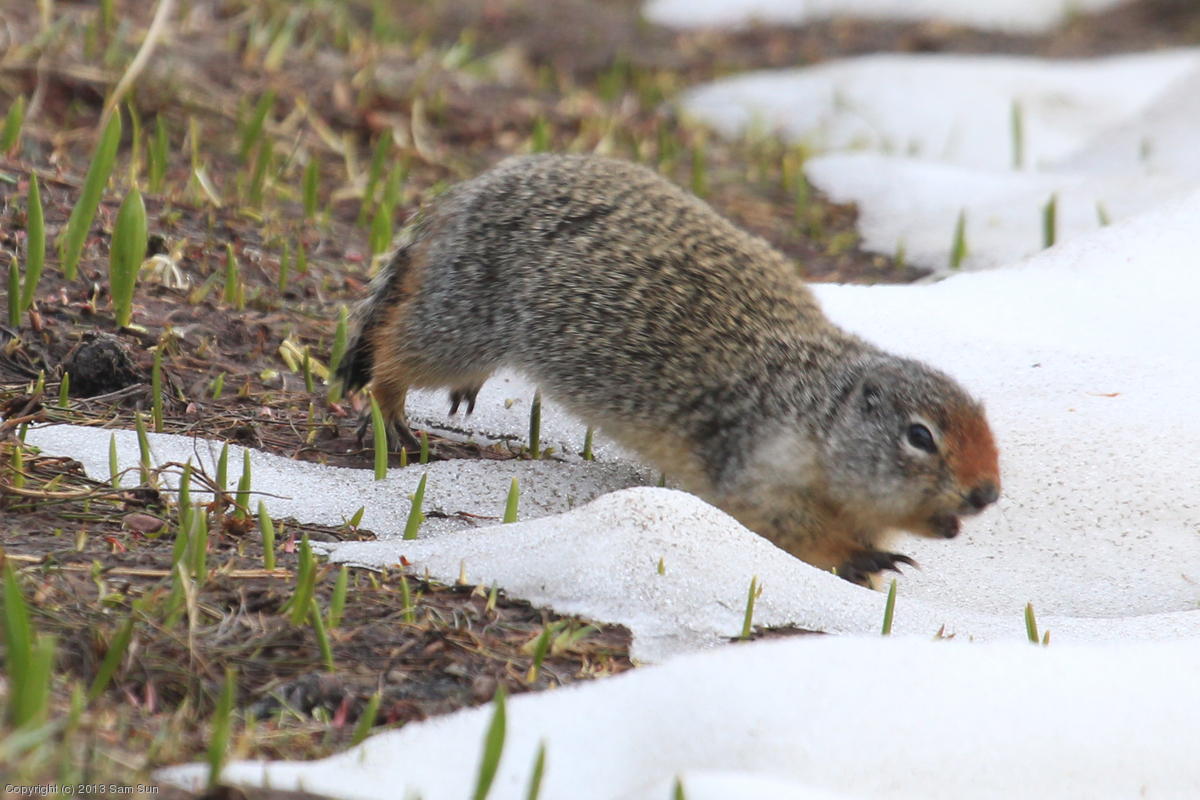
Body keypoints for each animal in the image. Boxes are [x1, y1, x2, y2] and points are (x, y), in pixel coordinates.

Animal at [337, 154, 1000, 586]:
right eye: (920, 436)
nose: (987, 493)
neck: (815, 407)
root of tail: (481, 184)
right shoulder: (759, 464)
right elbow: (786, 525)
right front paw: (864, 561)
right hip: (466, 321)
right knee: (398, 345)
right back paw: (391, 412)